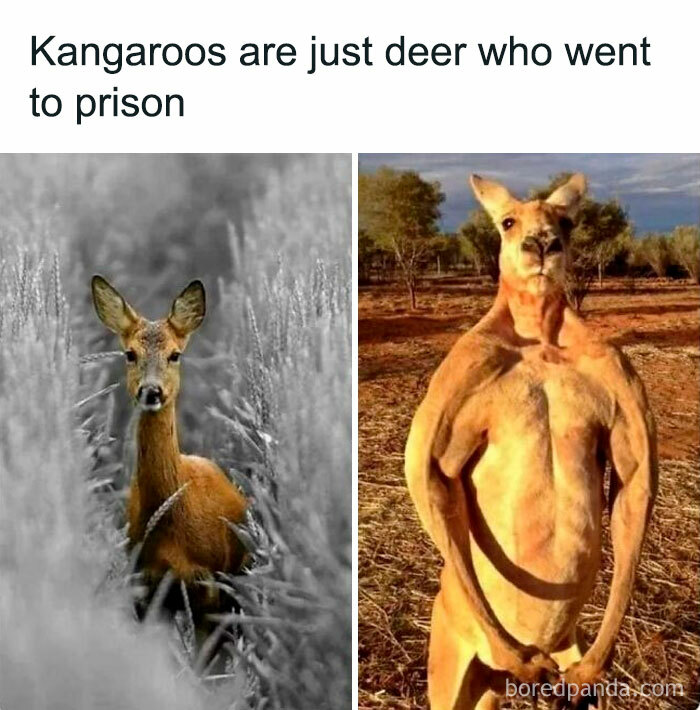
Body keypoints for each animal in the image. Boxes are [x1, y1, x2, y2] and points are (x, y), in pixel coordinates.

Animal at [405, 174, 657, 710]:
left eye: (567, 221)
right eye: (507, 221)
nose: (541, 244)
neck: (541, 336)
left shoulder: (618, 373)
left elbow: (634, 481)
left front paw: (594, 666)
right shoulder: (463, 370)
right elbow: (429, 472)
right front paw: (518, 653)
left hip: (514, 676)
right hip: (451, 660)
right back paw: (520, 656)